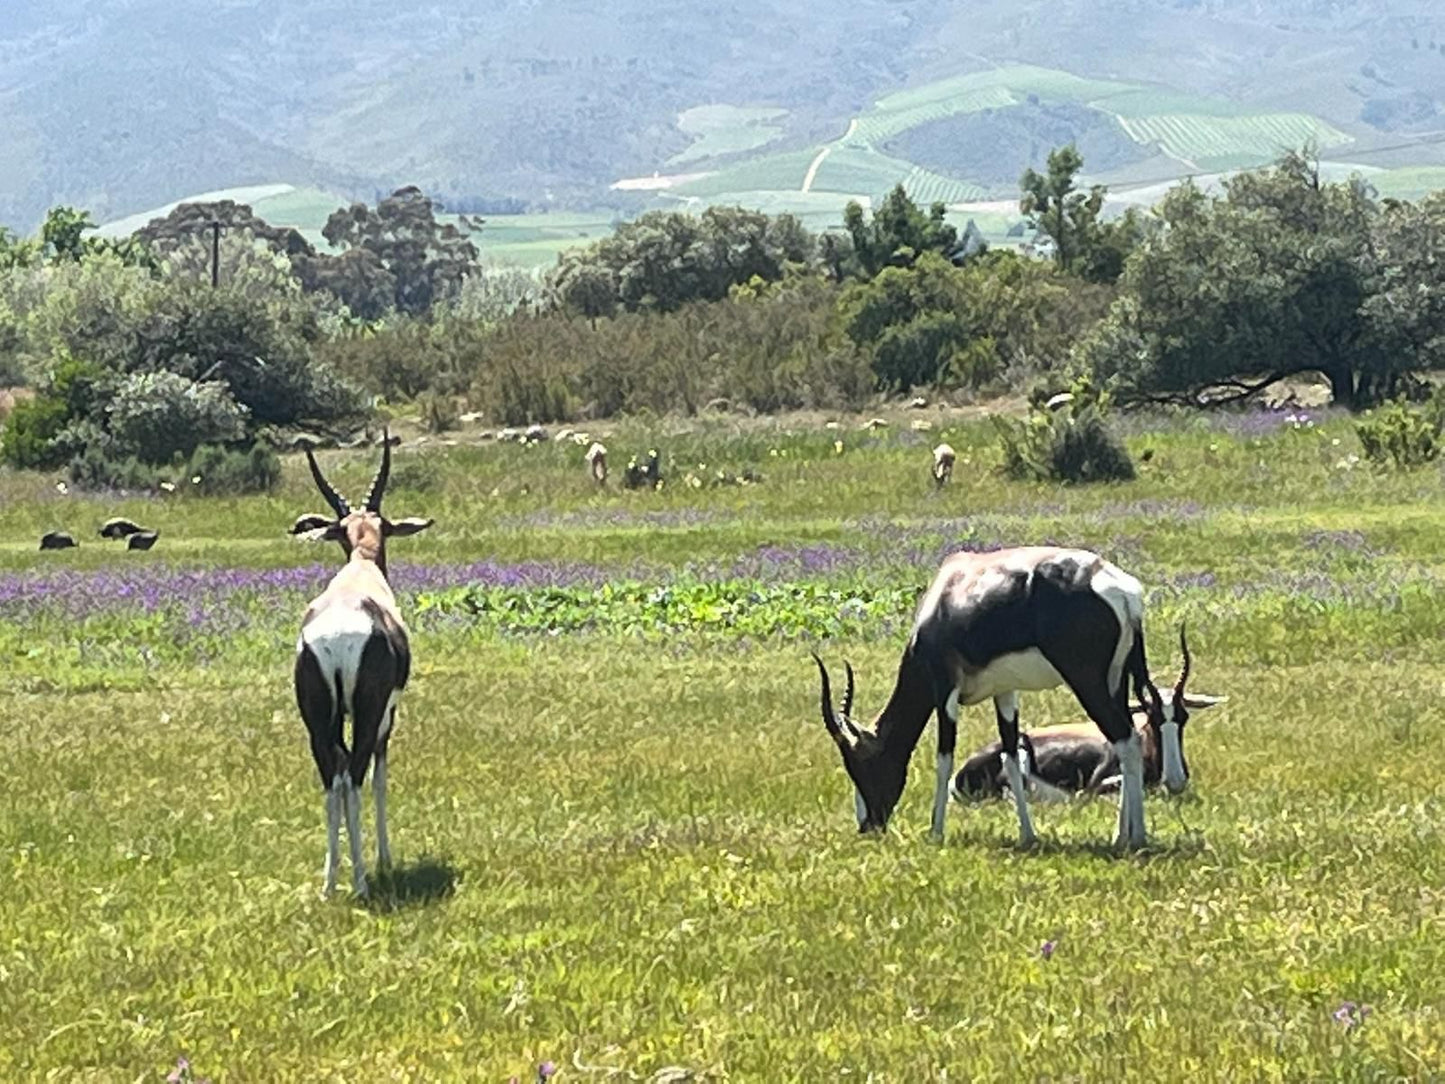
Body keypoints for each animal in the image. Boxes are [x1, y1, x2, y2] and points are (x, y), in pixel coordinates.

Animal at [289, 433, 430, 901]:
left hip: (318, 721)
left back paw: (330, 883)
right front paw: (385, 858)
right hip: (367, 715)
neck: (360, 570)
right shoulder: (388, 714)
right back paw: (362, 881)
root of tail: (335, 637)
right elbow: (381, 778)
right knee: (353, 775)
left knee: (332, 778)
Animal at [809, 546, 1179, 855]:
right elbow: (1011, 758)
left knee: (1126, 740)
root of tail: (1122, 591)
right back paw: (1124, 834)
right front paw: (1028, 836)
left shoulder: (945, 692)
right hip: (1117, 681)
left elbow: (944, 759)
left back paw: (1131, 837)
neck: (948, 593)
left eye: (860, 765)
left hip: (1087, 682)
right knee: (1125, 738)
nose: (868, 825)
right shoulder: (1005, 693)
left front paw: (935, 832)